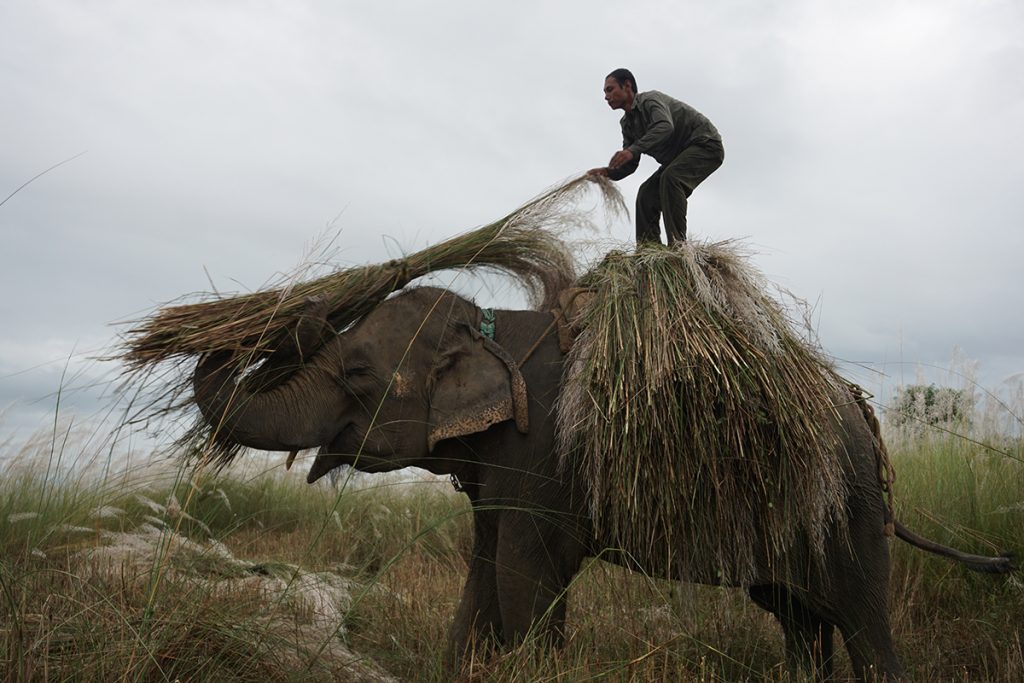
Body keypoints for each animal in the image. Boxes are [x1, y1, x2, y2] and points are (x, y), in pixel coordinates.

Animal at [192, 285, 1013, 681]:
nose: (301, 305)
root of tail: (865, 412)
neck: (496, 329)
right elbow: (483, 572)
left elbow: (526, 576)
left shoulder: (542, 458)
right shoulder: (501, 471)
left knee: (859, 611)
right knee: (796, 613)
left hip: (844, 500)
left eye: (358, 374)